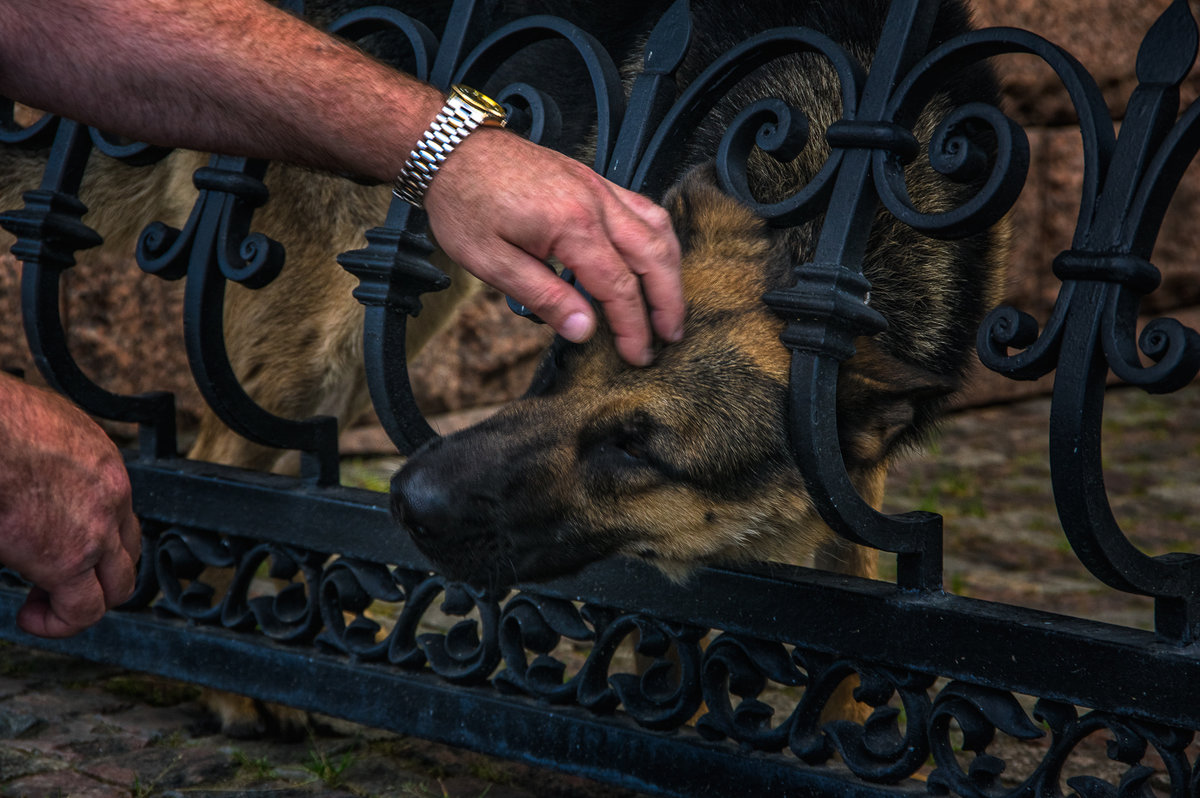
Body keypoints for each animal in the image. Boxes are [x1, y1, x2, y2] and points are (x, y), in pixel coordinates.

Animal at [0, 0, 1008, 734]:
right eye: (557, 365)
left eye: (636, 450)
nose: (410, 502)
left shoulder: (848, 483)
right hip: (330, 333)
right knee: (222, 462)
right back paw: (237, 681)